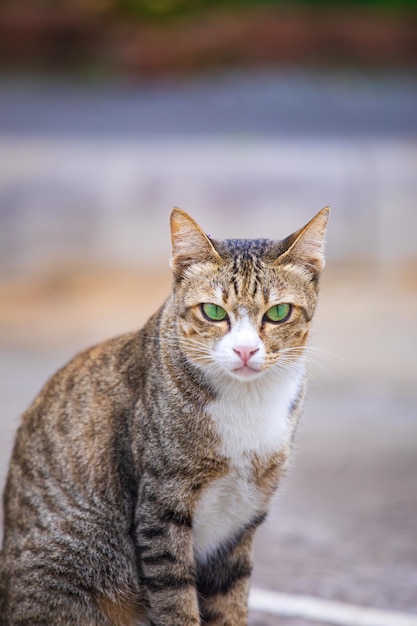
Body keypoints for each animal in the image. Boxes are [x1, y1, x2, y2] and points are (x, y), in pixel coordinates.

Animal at [0, 207, 328, 620]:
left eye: (279, 312)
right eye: (213, 311)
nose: (245, 350)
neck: (247, 401)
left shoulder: (242, 518)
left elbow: (231, 601)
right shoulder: (161, 504)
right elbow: (176, 600)